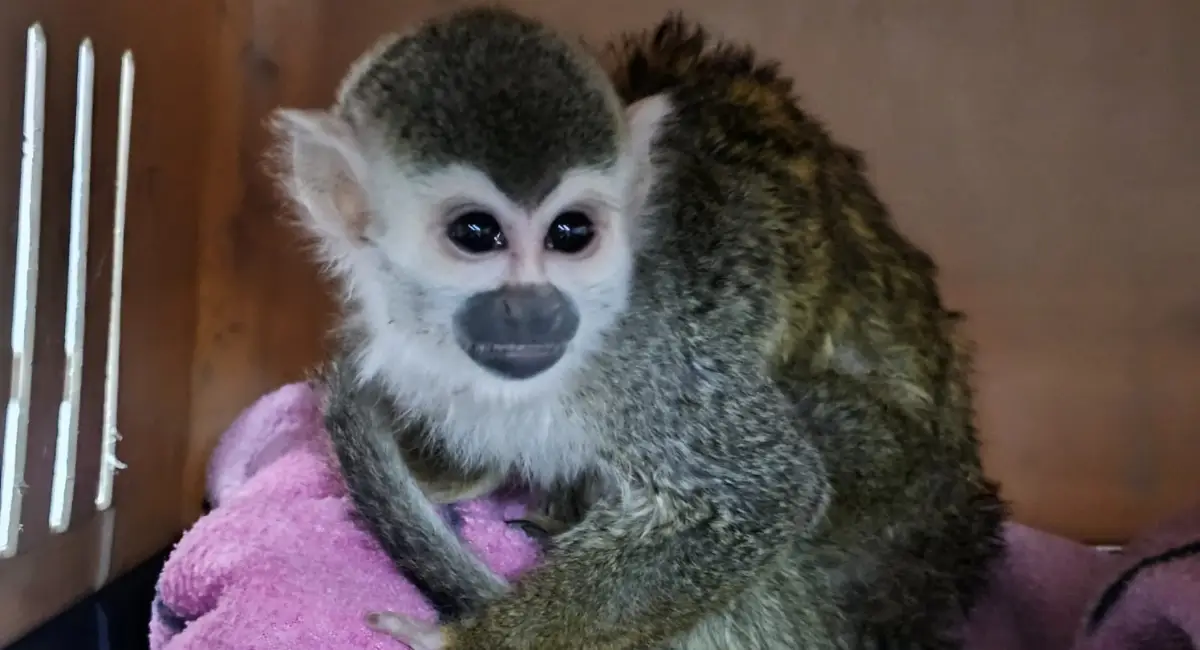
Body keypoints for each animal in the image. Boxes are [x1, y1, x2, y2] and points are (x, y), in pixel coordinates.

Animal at [270, 6, 1007, 649]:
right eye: (475, 234)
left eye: (572, 233)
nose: (535, 308)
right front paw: (447, 476)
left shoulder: (652, 355)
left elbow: (768, 494)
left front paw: (472, 638)